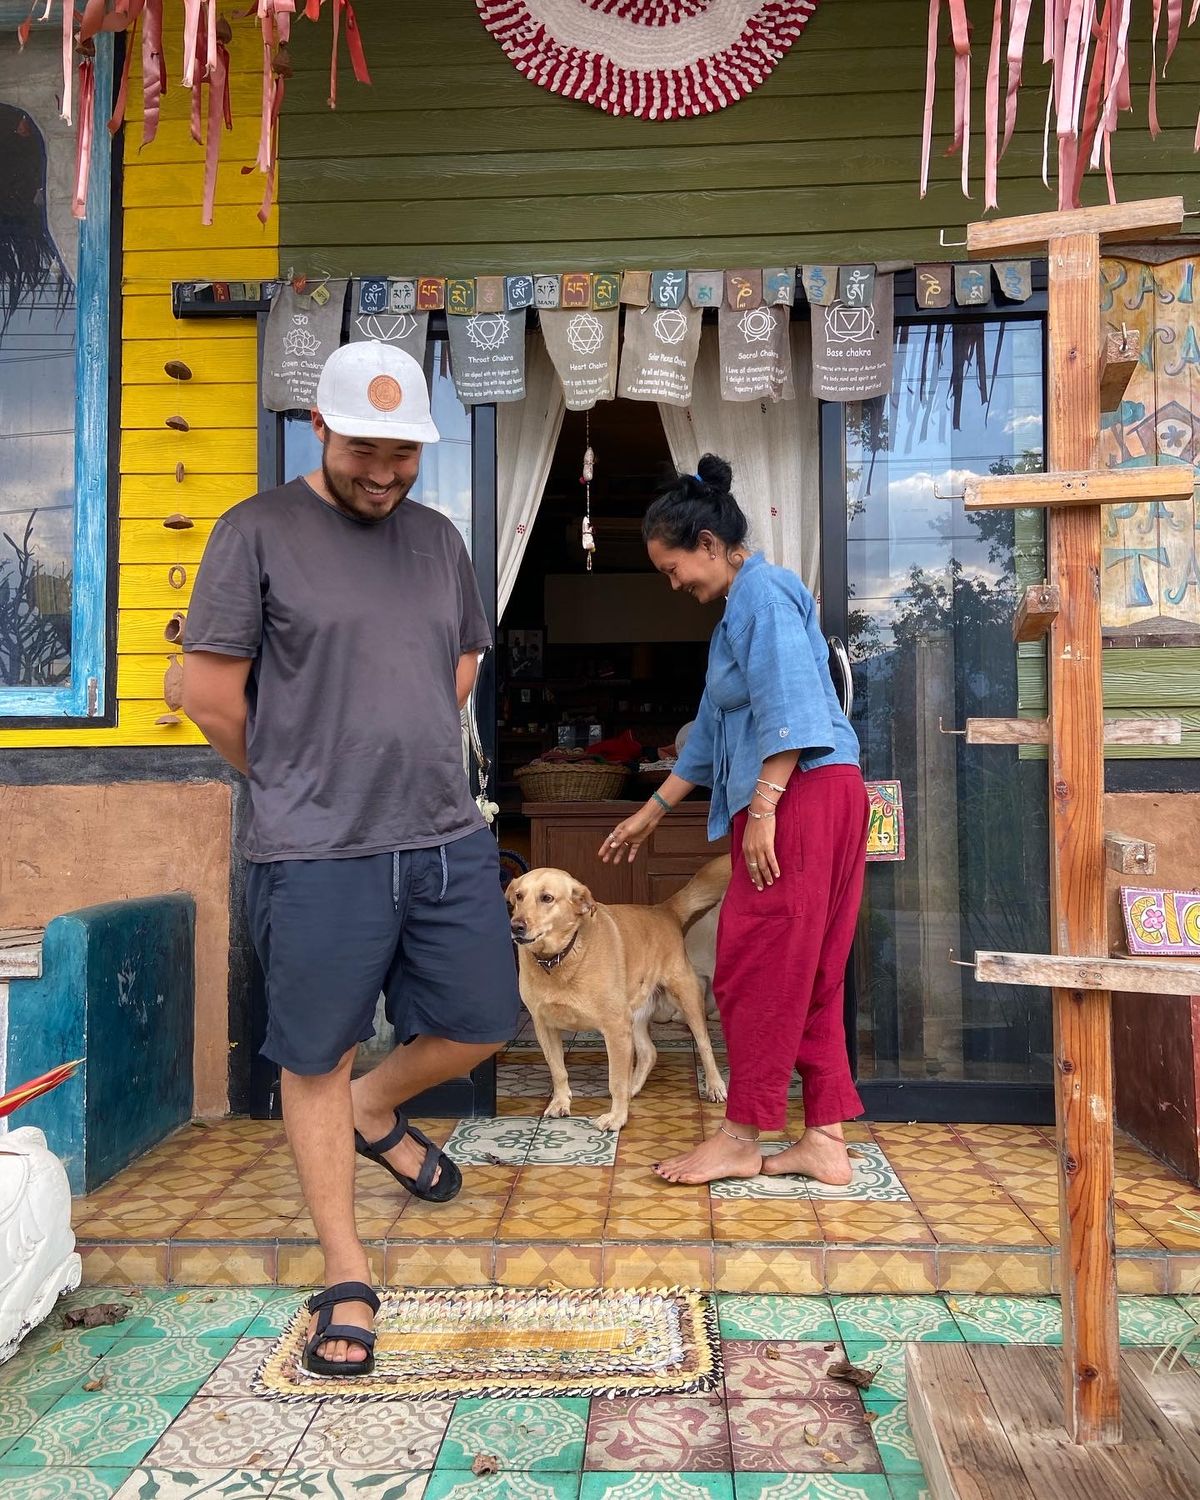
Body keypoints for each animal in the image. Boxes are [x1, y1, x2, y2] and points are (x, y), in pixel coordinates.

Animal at [510, 864, 732, 1128]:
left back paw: (715, 1086)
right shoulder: (544, 1025)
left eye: (547, 898)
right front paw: (561, 1102)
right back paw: (632, 1088)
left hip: (686, 998)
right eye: (518, 896)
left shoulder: (615, 1028)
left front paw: (616, 1117)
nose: (515, 926)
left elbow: (615, 1079)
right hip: (633, 1016)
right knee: (648, 1053)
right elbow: (558, 1070)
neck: (559, 959)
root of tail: (663, 910)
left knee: (704, 1045)